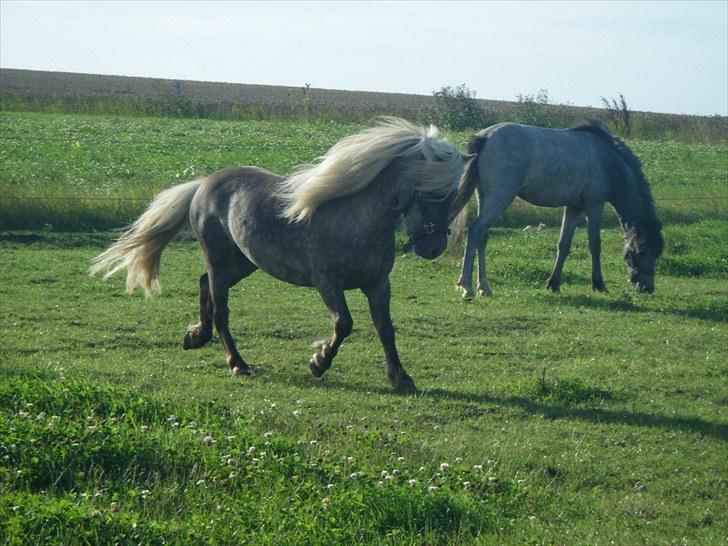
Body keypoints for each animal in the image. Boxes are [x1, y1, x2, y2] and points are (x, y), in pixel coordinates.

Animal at [91, 119, 466, 392]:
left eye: (451, 194)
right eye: (428, 190)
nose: (433, 247)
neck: (355, 218)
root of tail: (203, 183)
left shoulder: (377, 284)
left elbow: (385, 329)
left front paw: (401, 378)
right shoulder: (327, 282)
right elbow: (343, 324)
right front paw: (318, 362)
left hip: (243, 262)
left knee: (203, 287)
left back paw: (197, 336)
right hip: (219, 257)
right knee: (220, 307)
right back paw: (237, 363)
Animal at [446, 121, 664, 298]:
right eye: (642, 251)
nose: (647, 287)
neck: (608, 161)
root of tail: (485, 136)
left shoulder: (573, 208)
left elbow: (563, 244)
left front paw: (553, 283)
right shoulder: (594, 205)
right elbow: (594, 245)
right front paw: (599, 285)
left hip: (485, 198)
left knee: (482, 237)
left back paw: (484, 287)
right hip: (499, 198)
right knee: (476, 231)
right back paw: (466, 286)